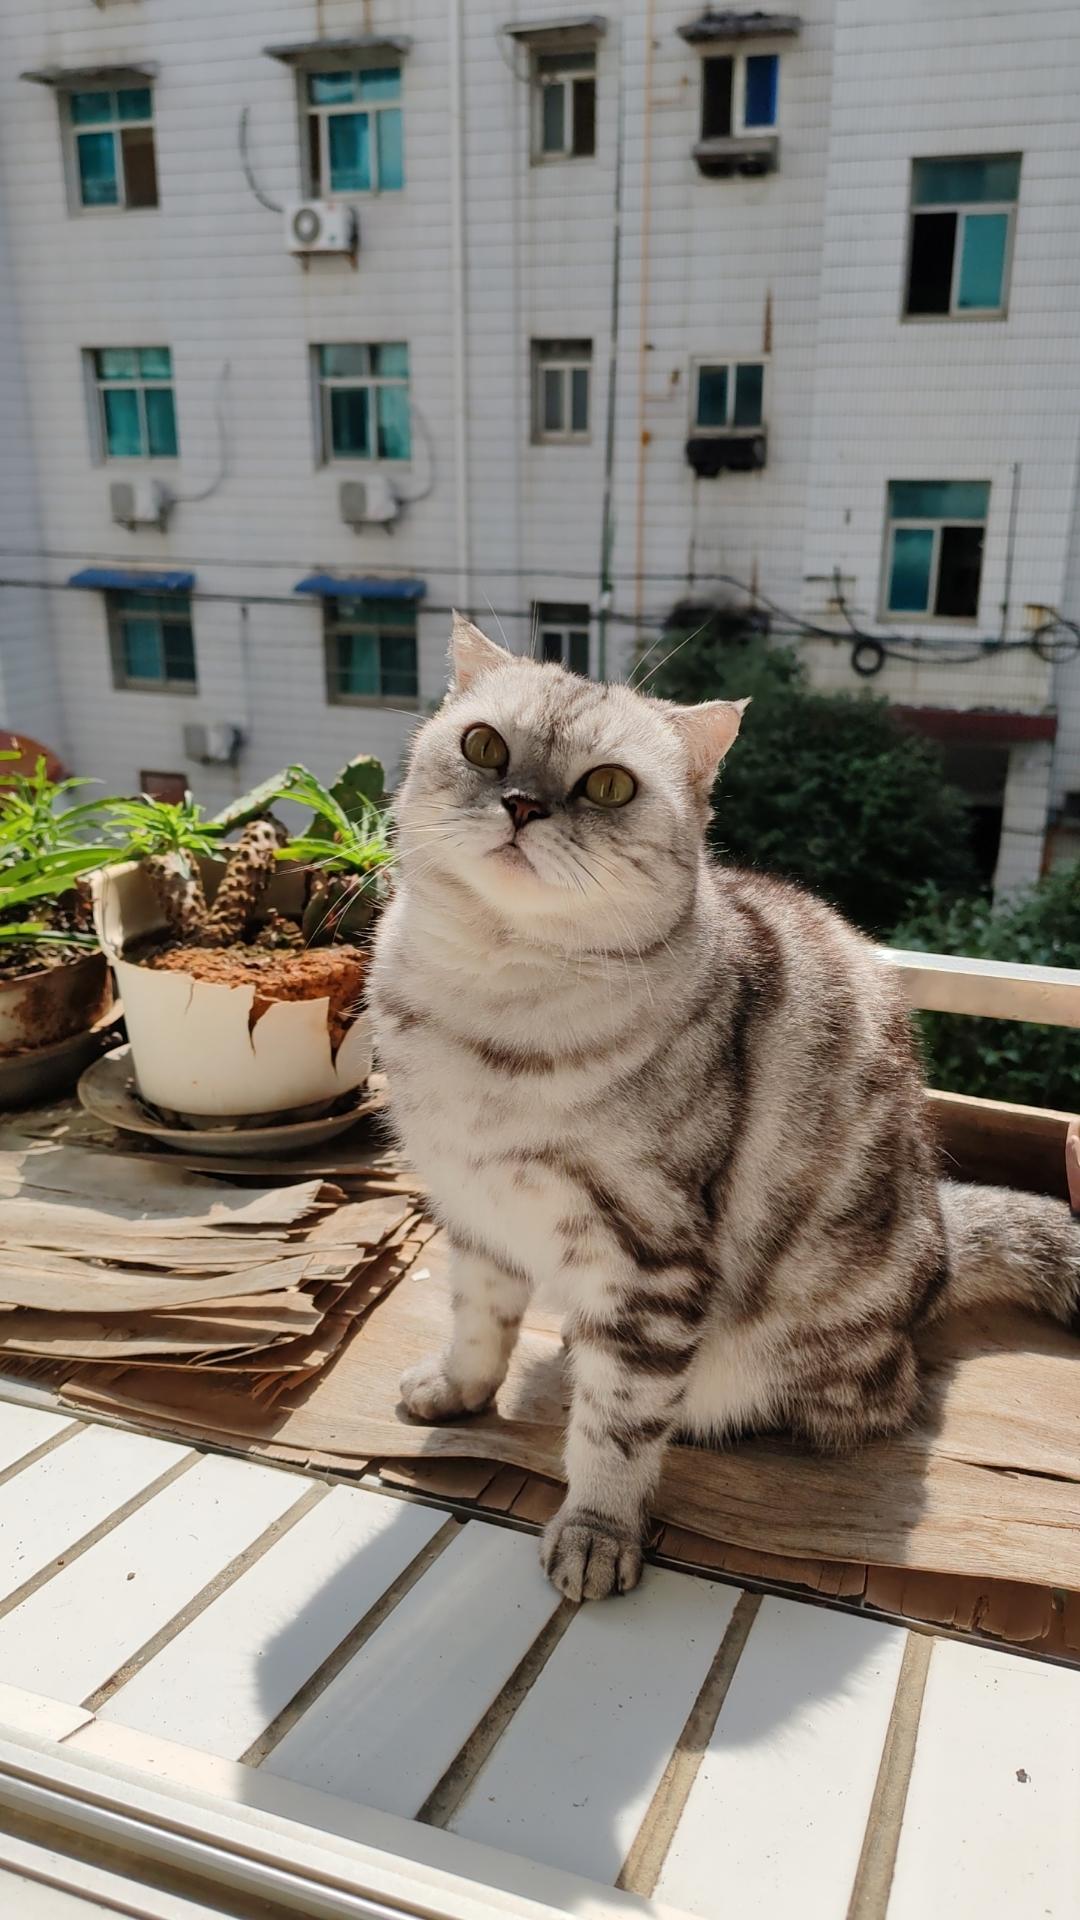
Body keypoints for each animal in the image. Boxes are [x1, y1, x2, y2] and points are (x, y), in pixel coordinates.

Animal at [369, 614, 1080, 1602]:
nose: (520, 803)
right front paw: (458, 1390)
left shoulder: (648, 1255)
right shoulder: (475, 1206)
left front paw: (596, 1531)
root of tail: (941, 1238)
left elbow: (619, 1422)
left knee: (873, 1402)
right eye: (484, 746)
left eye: (608, 785)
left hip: (807, 1348)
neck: (489, 1005)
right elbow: (478, 1318)